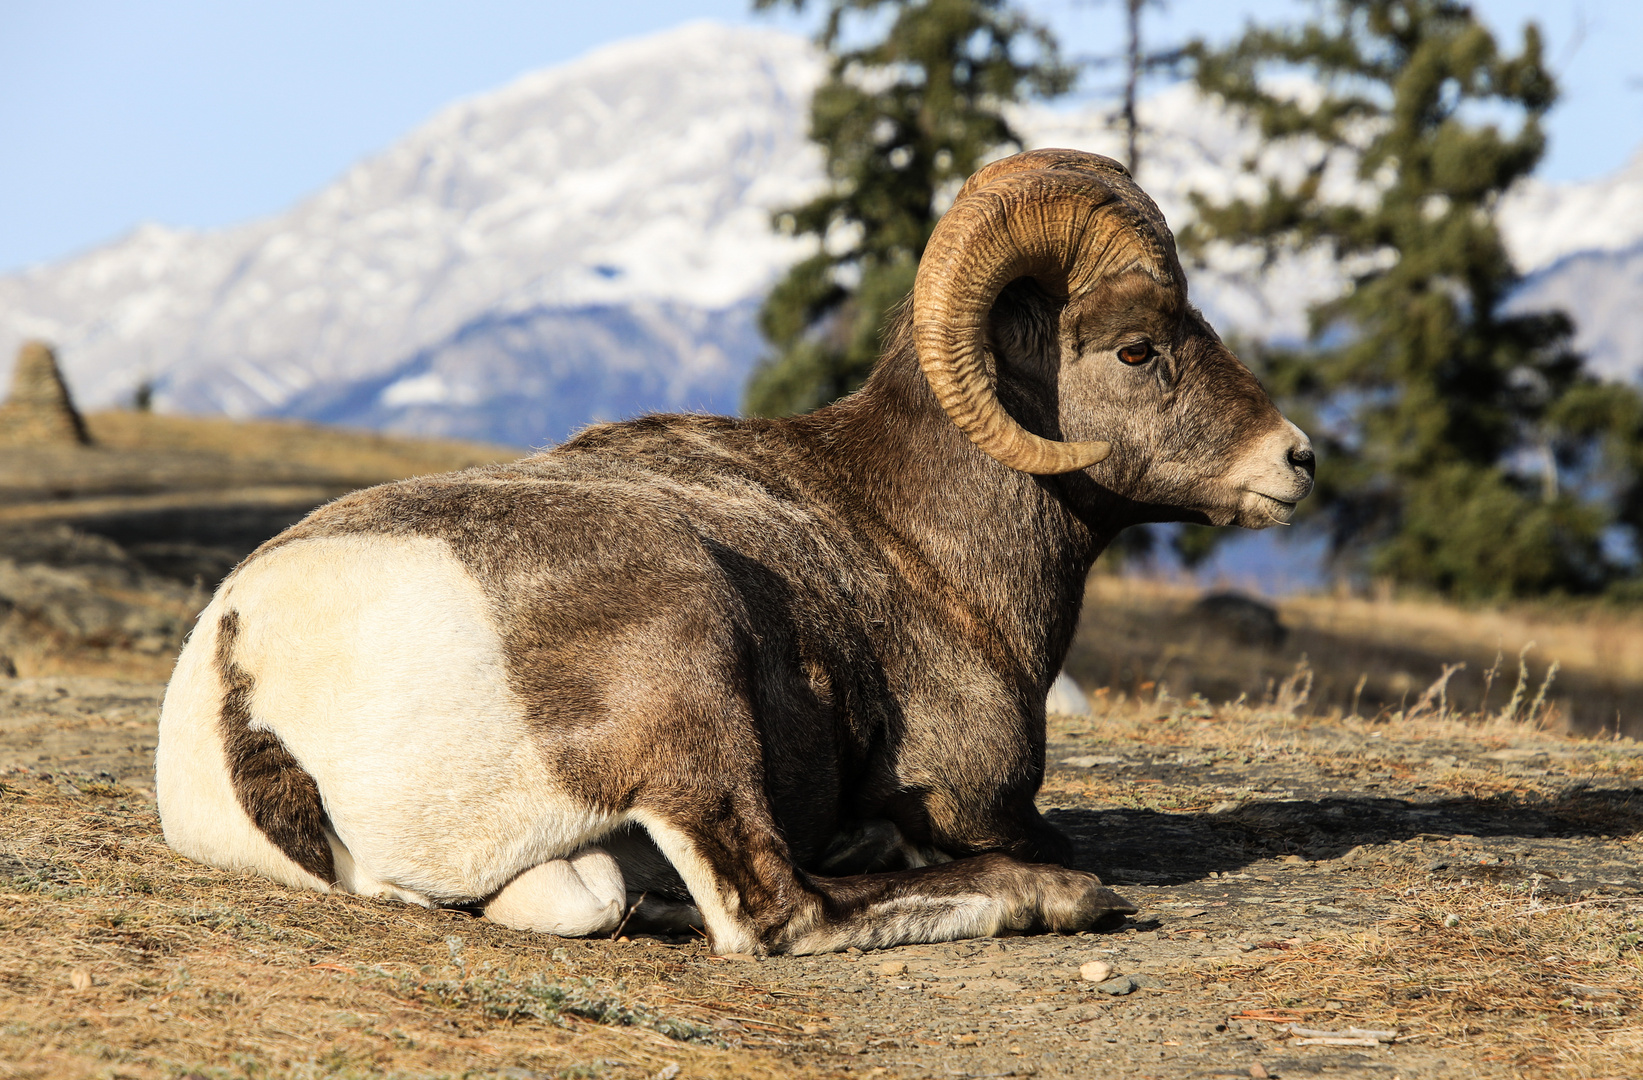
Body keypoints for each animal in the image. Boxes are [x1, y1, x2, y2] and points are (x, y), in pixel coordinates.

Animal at [151, 151, 1307, 953]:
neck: (919, 541)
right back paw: (1057, 900)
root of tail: (243, 672)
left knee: (603, 901)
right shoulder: (979, 799)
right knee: (770, 912)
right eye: (1136, 349)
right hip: (690, 672)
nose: (1293, 459)